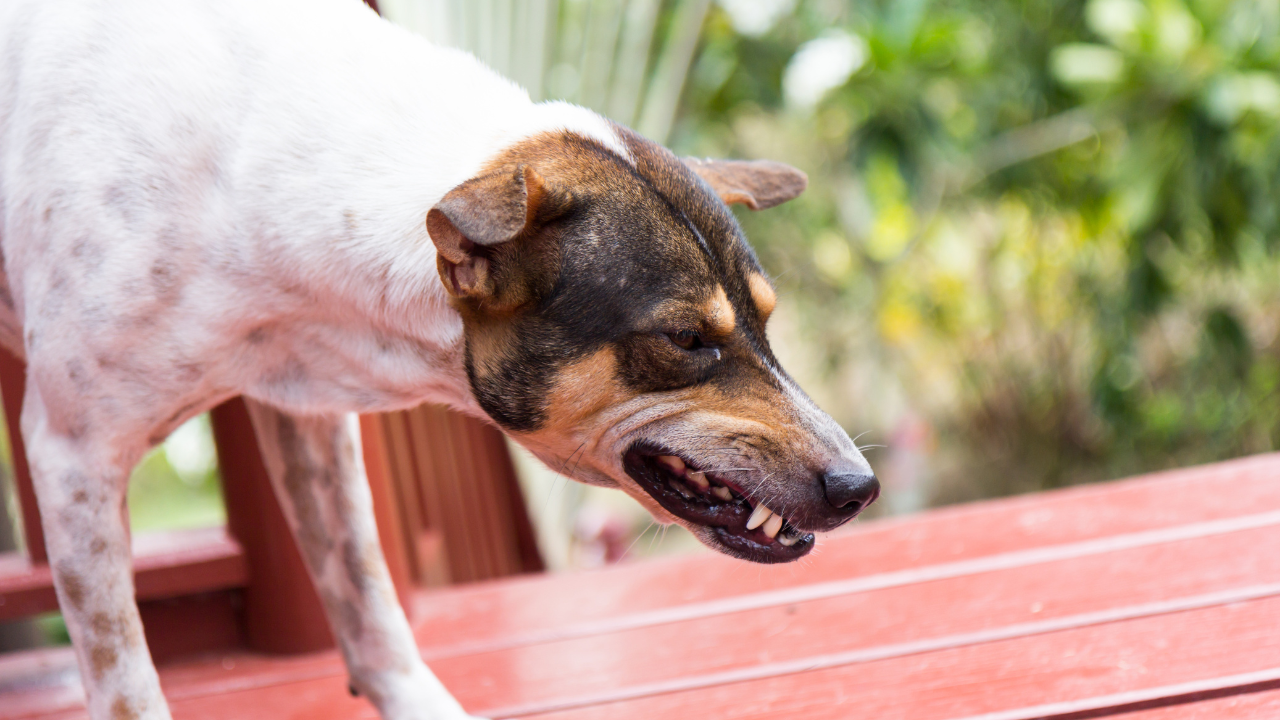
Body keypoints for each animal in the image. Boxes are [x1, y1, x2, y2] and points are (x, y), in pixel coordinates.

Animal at [0, 0, 880, 712]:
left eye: (767, 321)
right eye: (687, 340)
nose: (859, 488)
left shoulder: (307, 419)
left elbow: (369, 603)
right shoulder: (71, 457)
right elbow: (125, 684)